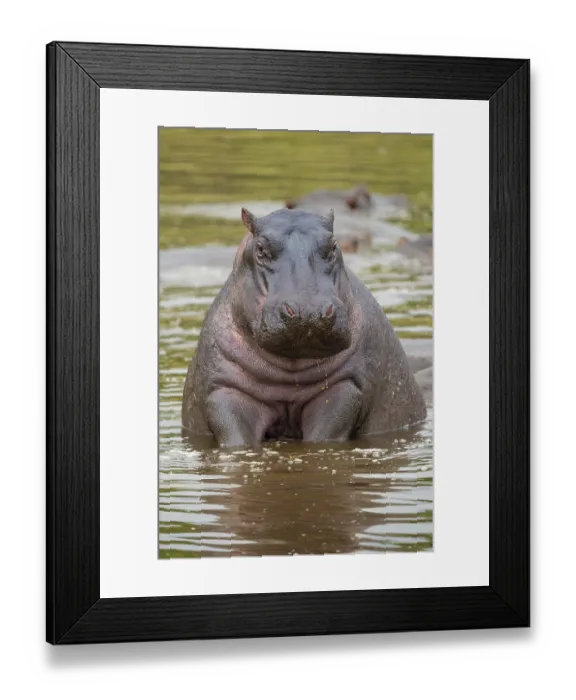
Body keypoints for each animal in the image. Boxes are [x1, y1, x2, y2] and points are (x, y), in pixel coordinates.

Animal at [181, 208, 427, 448]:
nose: (308, 311)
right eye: (260, 249)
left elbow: (323, 435)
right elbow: (236, 437)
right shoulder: (225, 390)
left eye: (333, 245)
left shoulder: (344, 388)